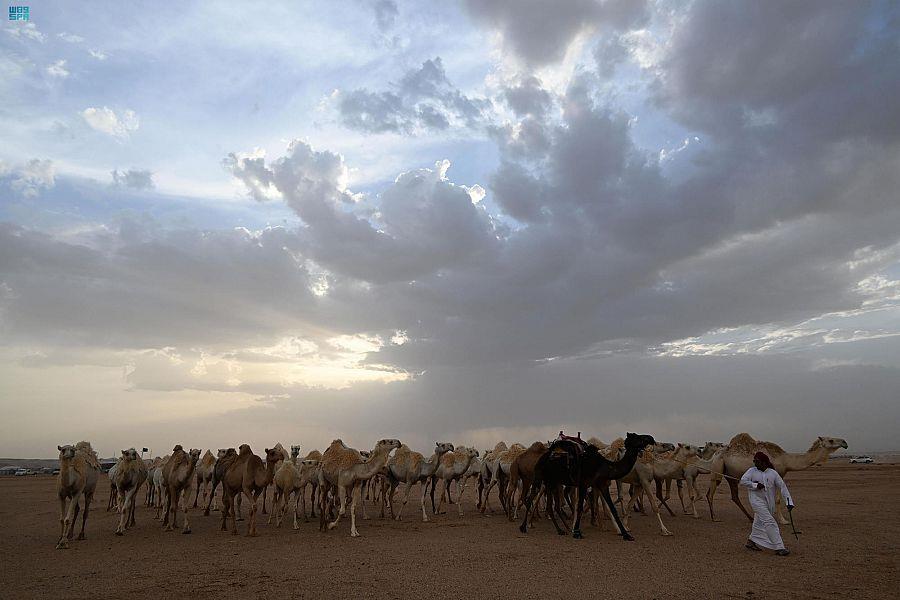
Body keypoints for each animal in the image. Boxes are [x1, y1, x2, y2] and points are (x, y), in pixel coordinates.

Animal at [520, 432, 652, 540]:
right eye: (638, 437)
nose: (651, 438)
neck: (604, 466)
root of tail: (543, 457)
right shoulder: (583, 483)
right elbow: (579, 507)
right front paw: (577, 532)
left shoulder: (602, 484)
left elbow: (613, 509)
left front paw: (626, 535)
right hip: (539, 478)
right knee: (531, 497)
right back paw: (524, 527)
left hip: (553, 482)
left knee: (551, 505)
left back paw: (562, 529)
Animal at [708, 434, 848, 524]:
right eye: (831, 440)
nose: (845, 442)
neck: (786, 460)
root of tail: (716, 454)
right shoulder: (776, 474)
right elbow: (778, 500)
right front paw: (783, 521)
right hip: (717, 467)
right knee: (711, 491)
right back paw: (714, 518)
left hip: (730, 475)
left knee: (734, 496)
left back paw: (750, 518)